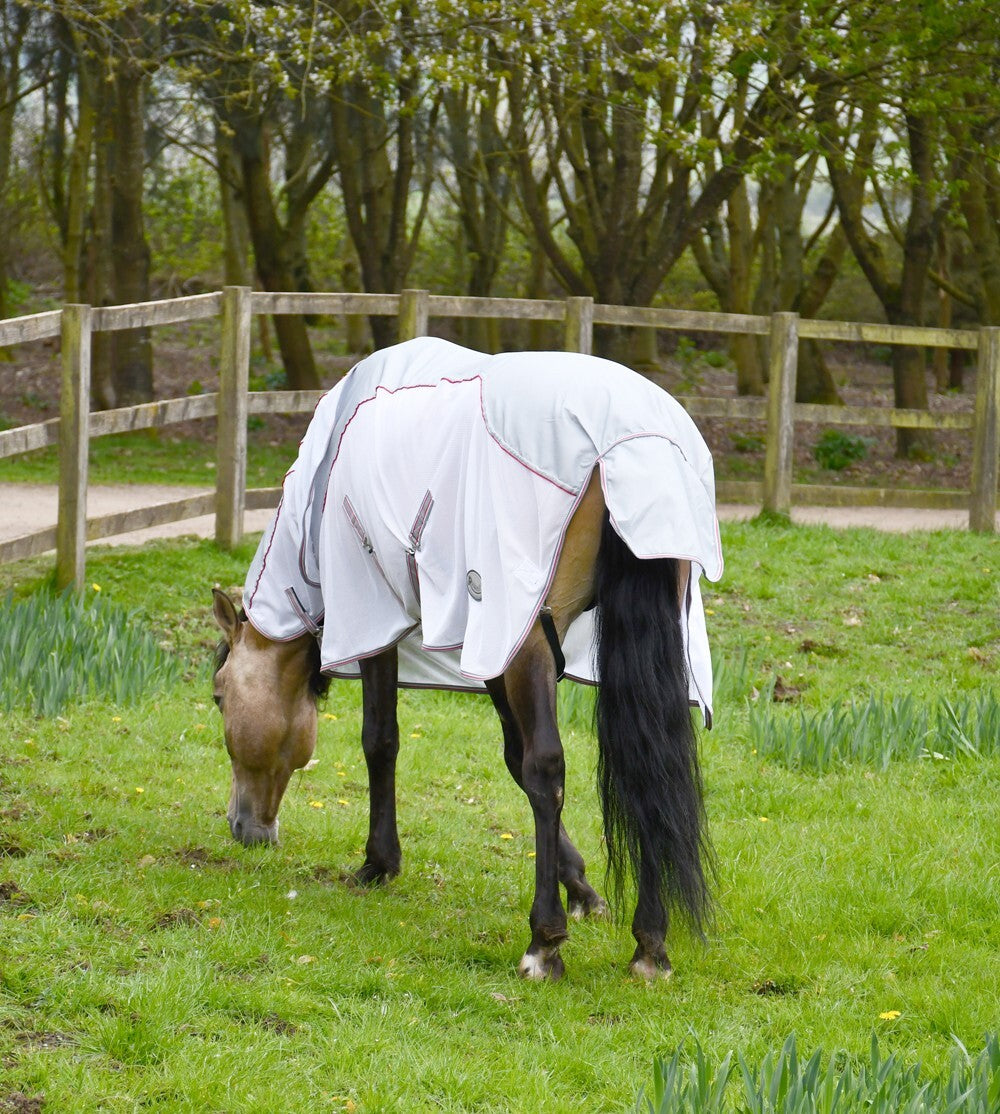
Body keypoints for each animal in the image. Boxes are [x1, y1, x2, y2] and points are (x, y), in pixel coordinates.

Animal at [211, 337, 723, 980]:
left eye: (219, 698)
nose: (243, 827)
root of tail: (631, 444)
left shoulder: (381, 612)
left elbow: (382, 739)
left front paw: (378, 862)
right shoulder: (498, 650)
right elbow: (512, 756)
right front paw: (583, 889)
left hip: (522, 631)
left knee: (549, 770)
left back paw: (543, 942)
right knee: (644, 764)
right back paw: (649, 943)